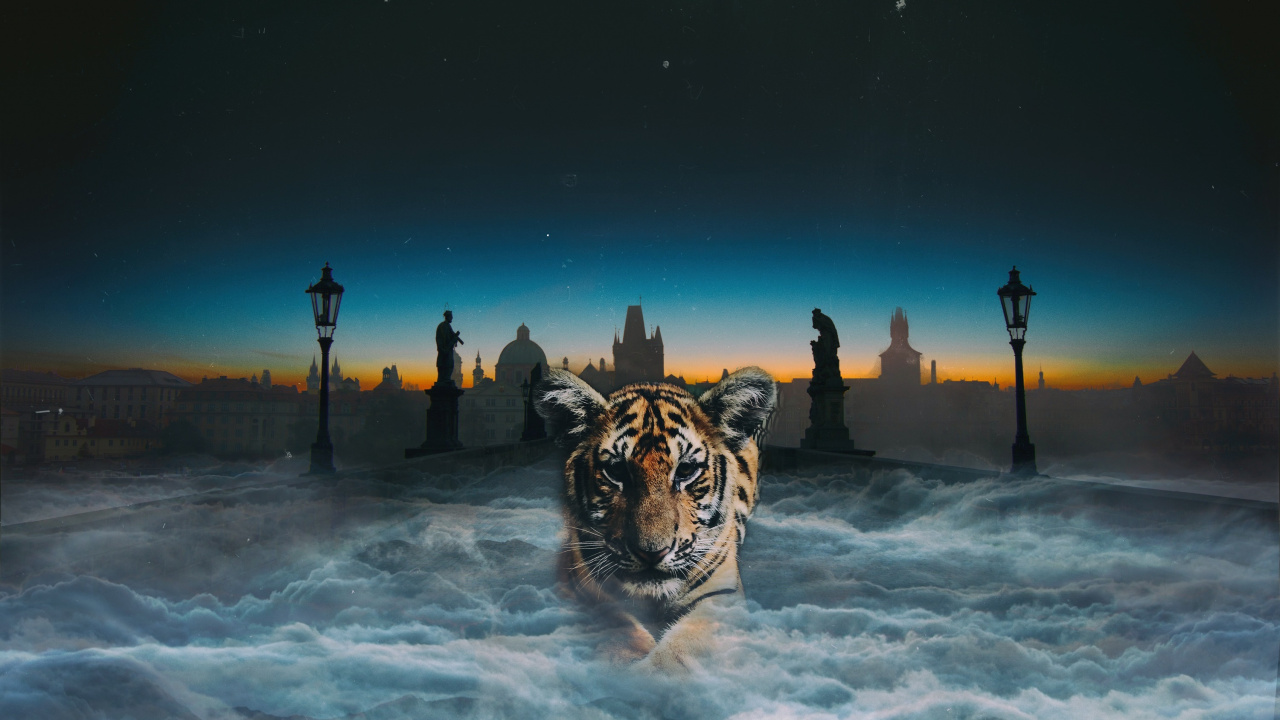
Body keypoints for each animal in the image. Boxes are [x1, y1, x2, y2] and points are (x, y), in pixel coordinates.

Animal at [534, 366, 776, 670]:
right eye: (616, 471)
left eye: (686, 470)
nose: (652, 553)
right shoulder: (583, 586)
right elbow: (618, 626)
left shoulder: (721, 595)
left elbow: (682, 650)